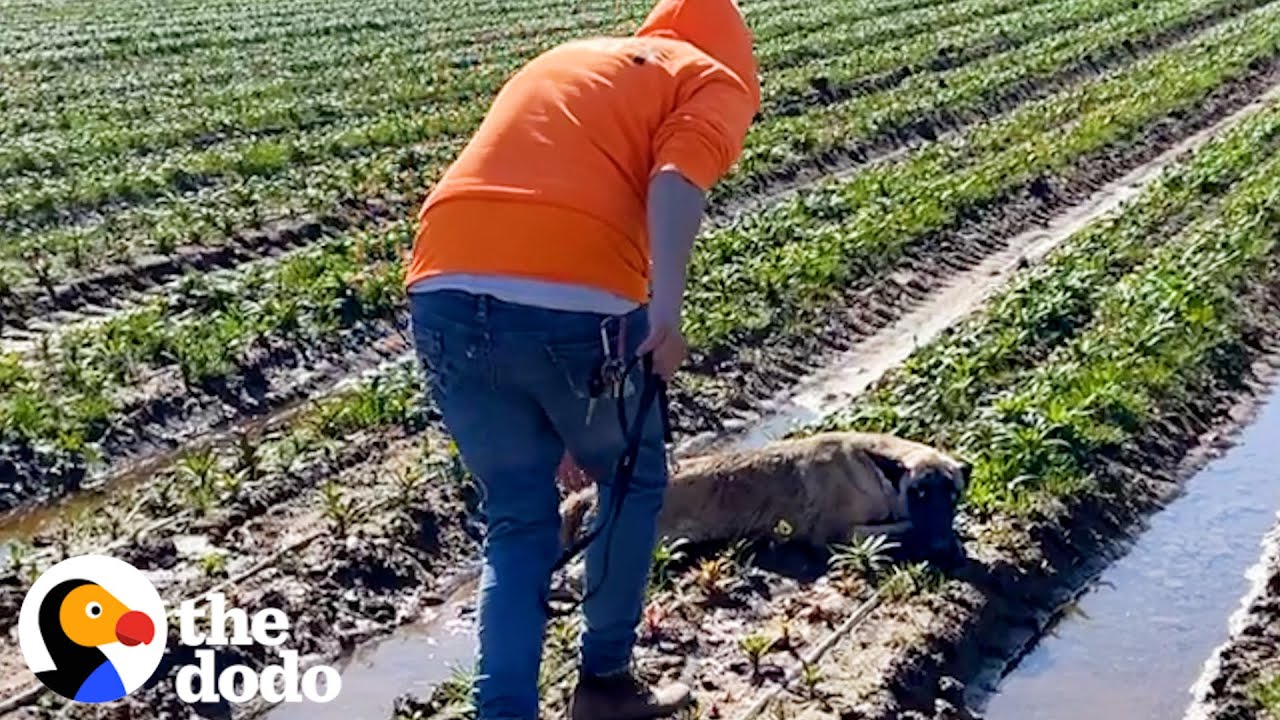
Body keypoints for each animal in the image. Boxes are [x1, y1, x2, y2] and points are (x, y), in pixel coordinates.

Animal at [560, 430, 967, 566]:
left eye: (952, 495)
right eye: (918, 494)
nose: (941, 545)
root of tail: (593, 491)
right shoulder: (837, 532)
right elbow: (901, 528)